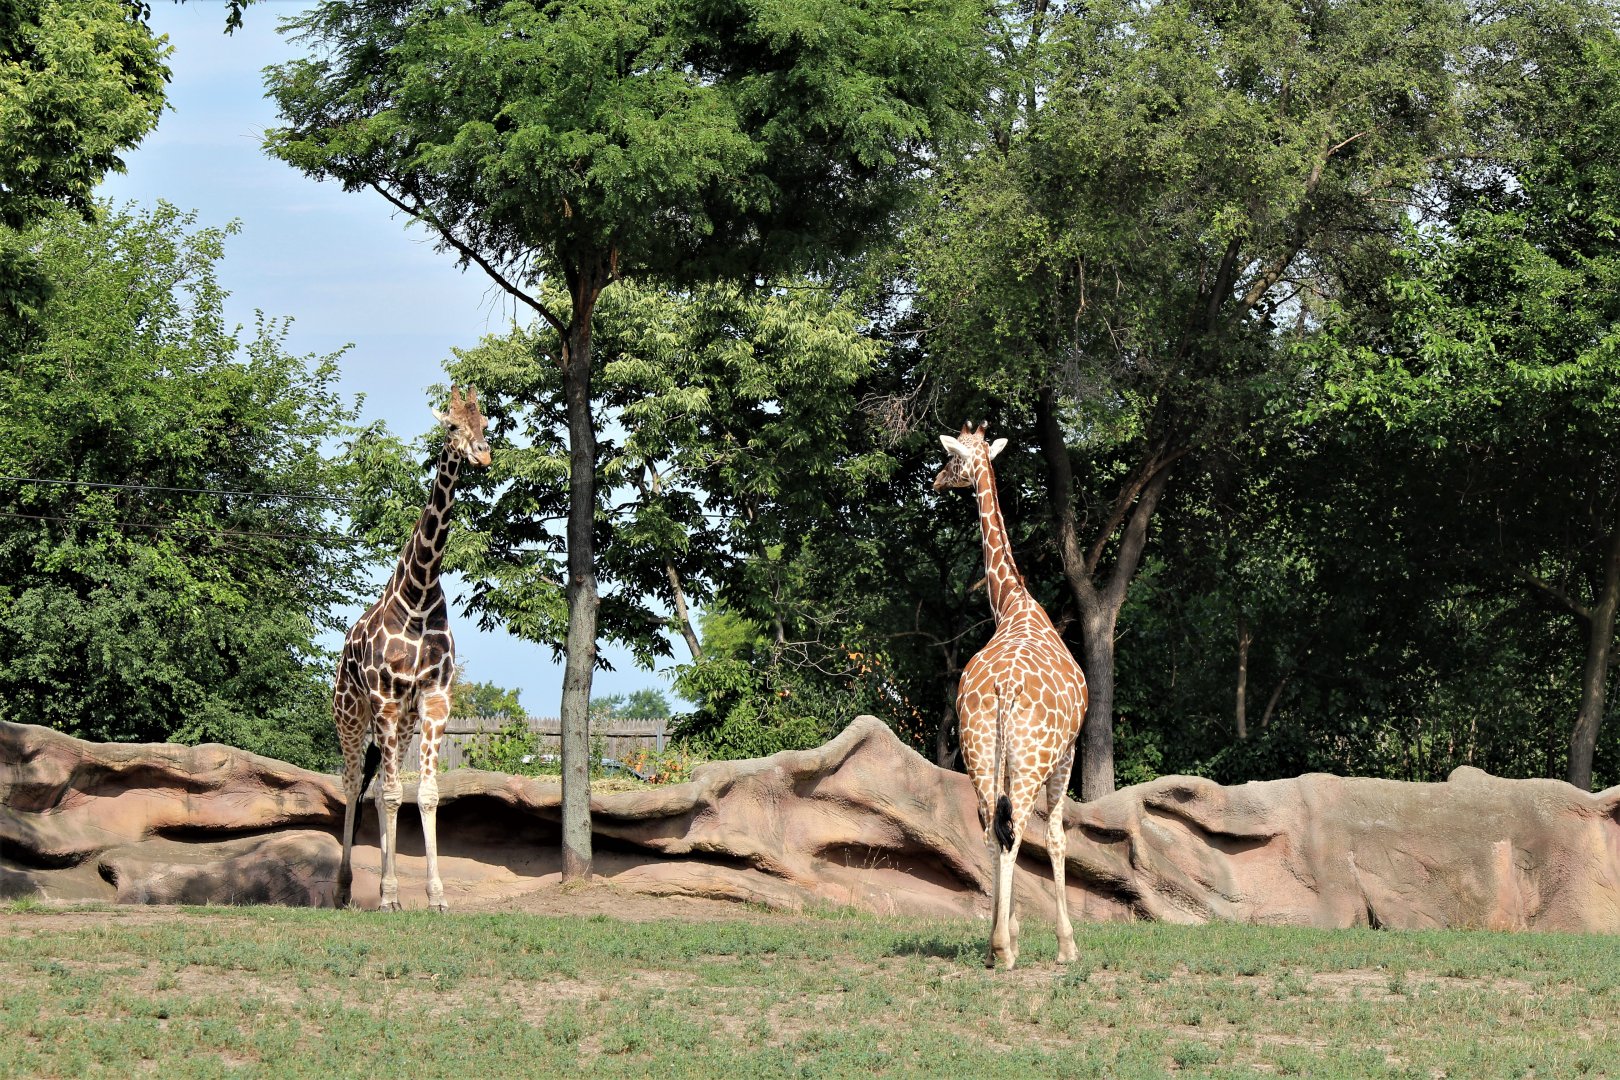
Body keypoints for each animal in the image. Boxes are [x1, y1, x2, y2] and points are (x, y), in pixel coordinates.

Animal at [333, 386, 492, 912]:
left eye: (485, 423)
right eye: (451, 426)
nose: (482, 454)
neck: (418, 595)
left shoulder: (434, 697)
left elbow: (422, 794)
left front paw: (434, 896)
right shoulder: (383, 698)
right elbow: (385, 793)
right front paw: (386, 896)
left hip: (400, 723)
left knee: (383, 786)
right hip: (351, 711)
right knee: (352, 783)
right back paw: (344, 888)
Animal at [936, 422, 1088, 970]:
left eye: (953, 461)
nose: (936, 481)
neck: (1014, 604)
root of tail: (1004, 688)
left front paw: (1016, 931)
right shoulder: (1067, 751)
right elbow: (1057, 838)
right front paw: (1067, 946)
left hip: (978, 751)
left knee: (990, 830)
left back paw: (995, 944)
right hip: (1030, 758)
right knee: (1017, 830)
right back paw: (1005, 948)